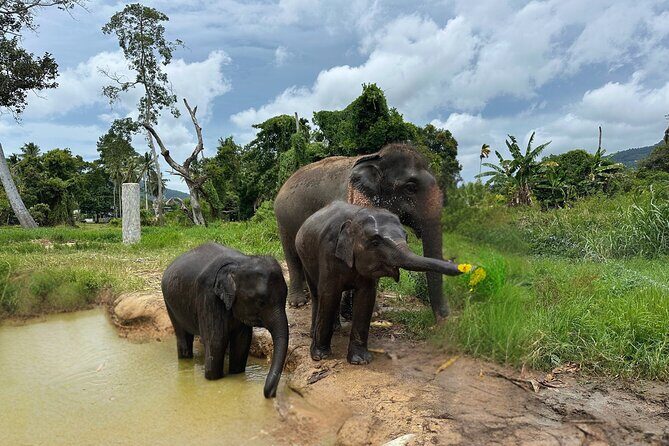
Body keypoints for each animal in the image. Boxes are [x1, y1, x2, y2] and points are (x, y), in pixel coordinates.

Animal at [161, 243, 289, 398]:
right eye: (260, 302)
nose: (271, 394)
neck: (240, 263)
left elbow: (242, 341)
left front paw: (236, 374)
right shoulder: (209, 297)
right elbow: (216, 341)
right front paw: (213, 380)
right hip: (169, 303)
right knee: (182, 336)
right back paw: (185, 359)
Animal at [275, 143, 451, 321]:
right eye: (410, 188)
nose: (444, 318)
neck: (377, 157)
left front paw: (370, 312)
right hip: (283, 221)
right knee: (291, 254)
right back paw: (298, 302)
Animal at [295, 201, 463, 364]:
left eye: (406, 237)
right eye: (375, 242)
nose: (461, 267)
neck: (355, 216)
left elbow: (366, 298)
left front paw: (361, 361)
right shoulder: (329, 253)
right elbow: (329, 295)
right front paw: (320, 357)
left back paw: (336, 329)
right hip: (304, 257)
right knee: (317, 295)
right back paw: (314, 334)